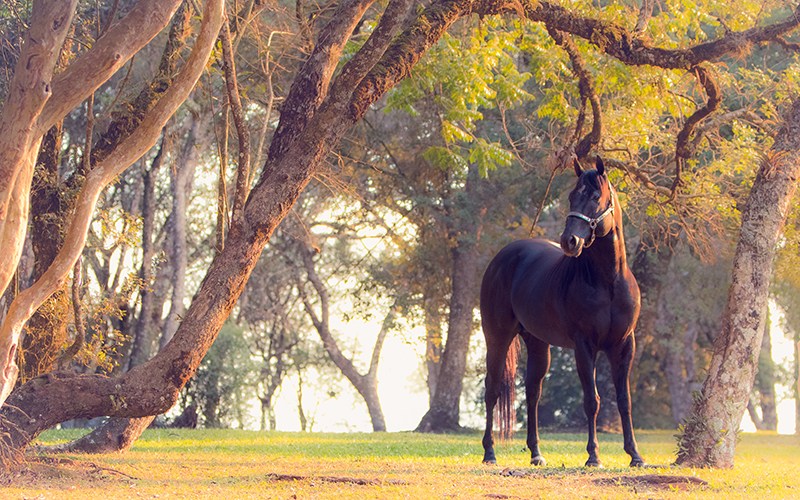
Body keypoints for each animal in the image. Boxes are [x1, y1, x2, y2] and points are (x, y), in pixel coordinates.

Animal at [482, 157, 644, 468]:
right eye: (571, 196)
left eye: (595, 197)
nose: (570, 241)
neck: (608, 282)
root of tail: (502, 257)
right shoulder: (584, 345)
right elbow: (592, 401)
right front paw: (593, 456)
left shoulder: (624, 345)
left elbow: (625, 401)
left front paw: (635, 455)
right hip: (497, 338)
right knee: (492, 389)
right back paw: (490, 453)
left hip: (537, 343)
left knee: (533, 392)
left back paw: (536, 453)